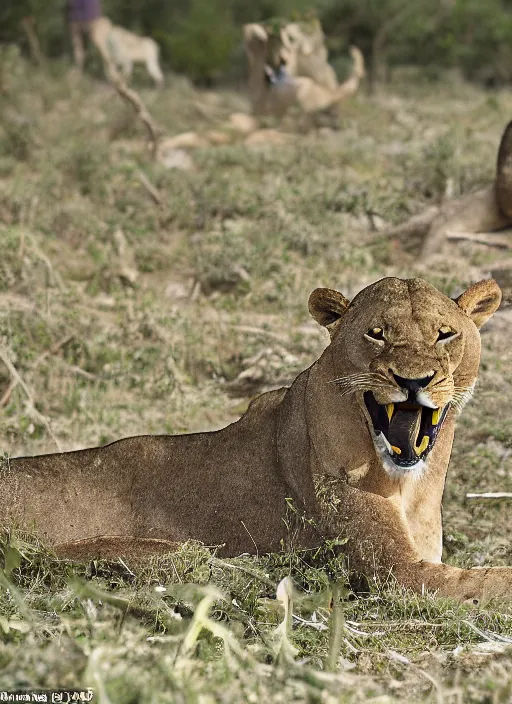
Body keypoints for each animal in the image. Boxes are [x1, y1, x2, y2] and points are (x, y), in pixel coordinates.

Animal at [2, 278, 510, 604]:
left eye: (445, 334)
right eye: (376, 333)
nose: (413, 381)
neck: (411, 484)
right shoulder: (396, 573)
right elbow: (488, 584)